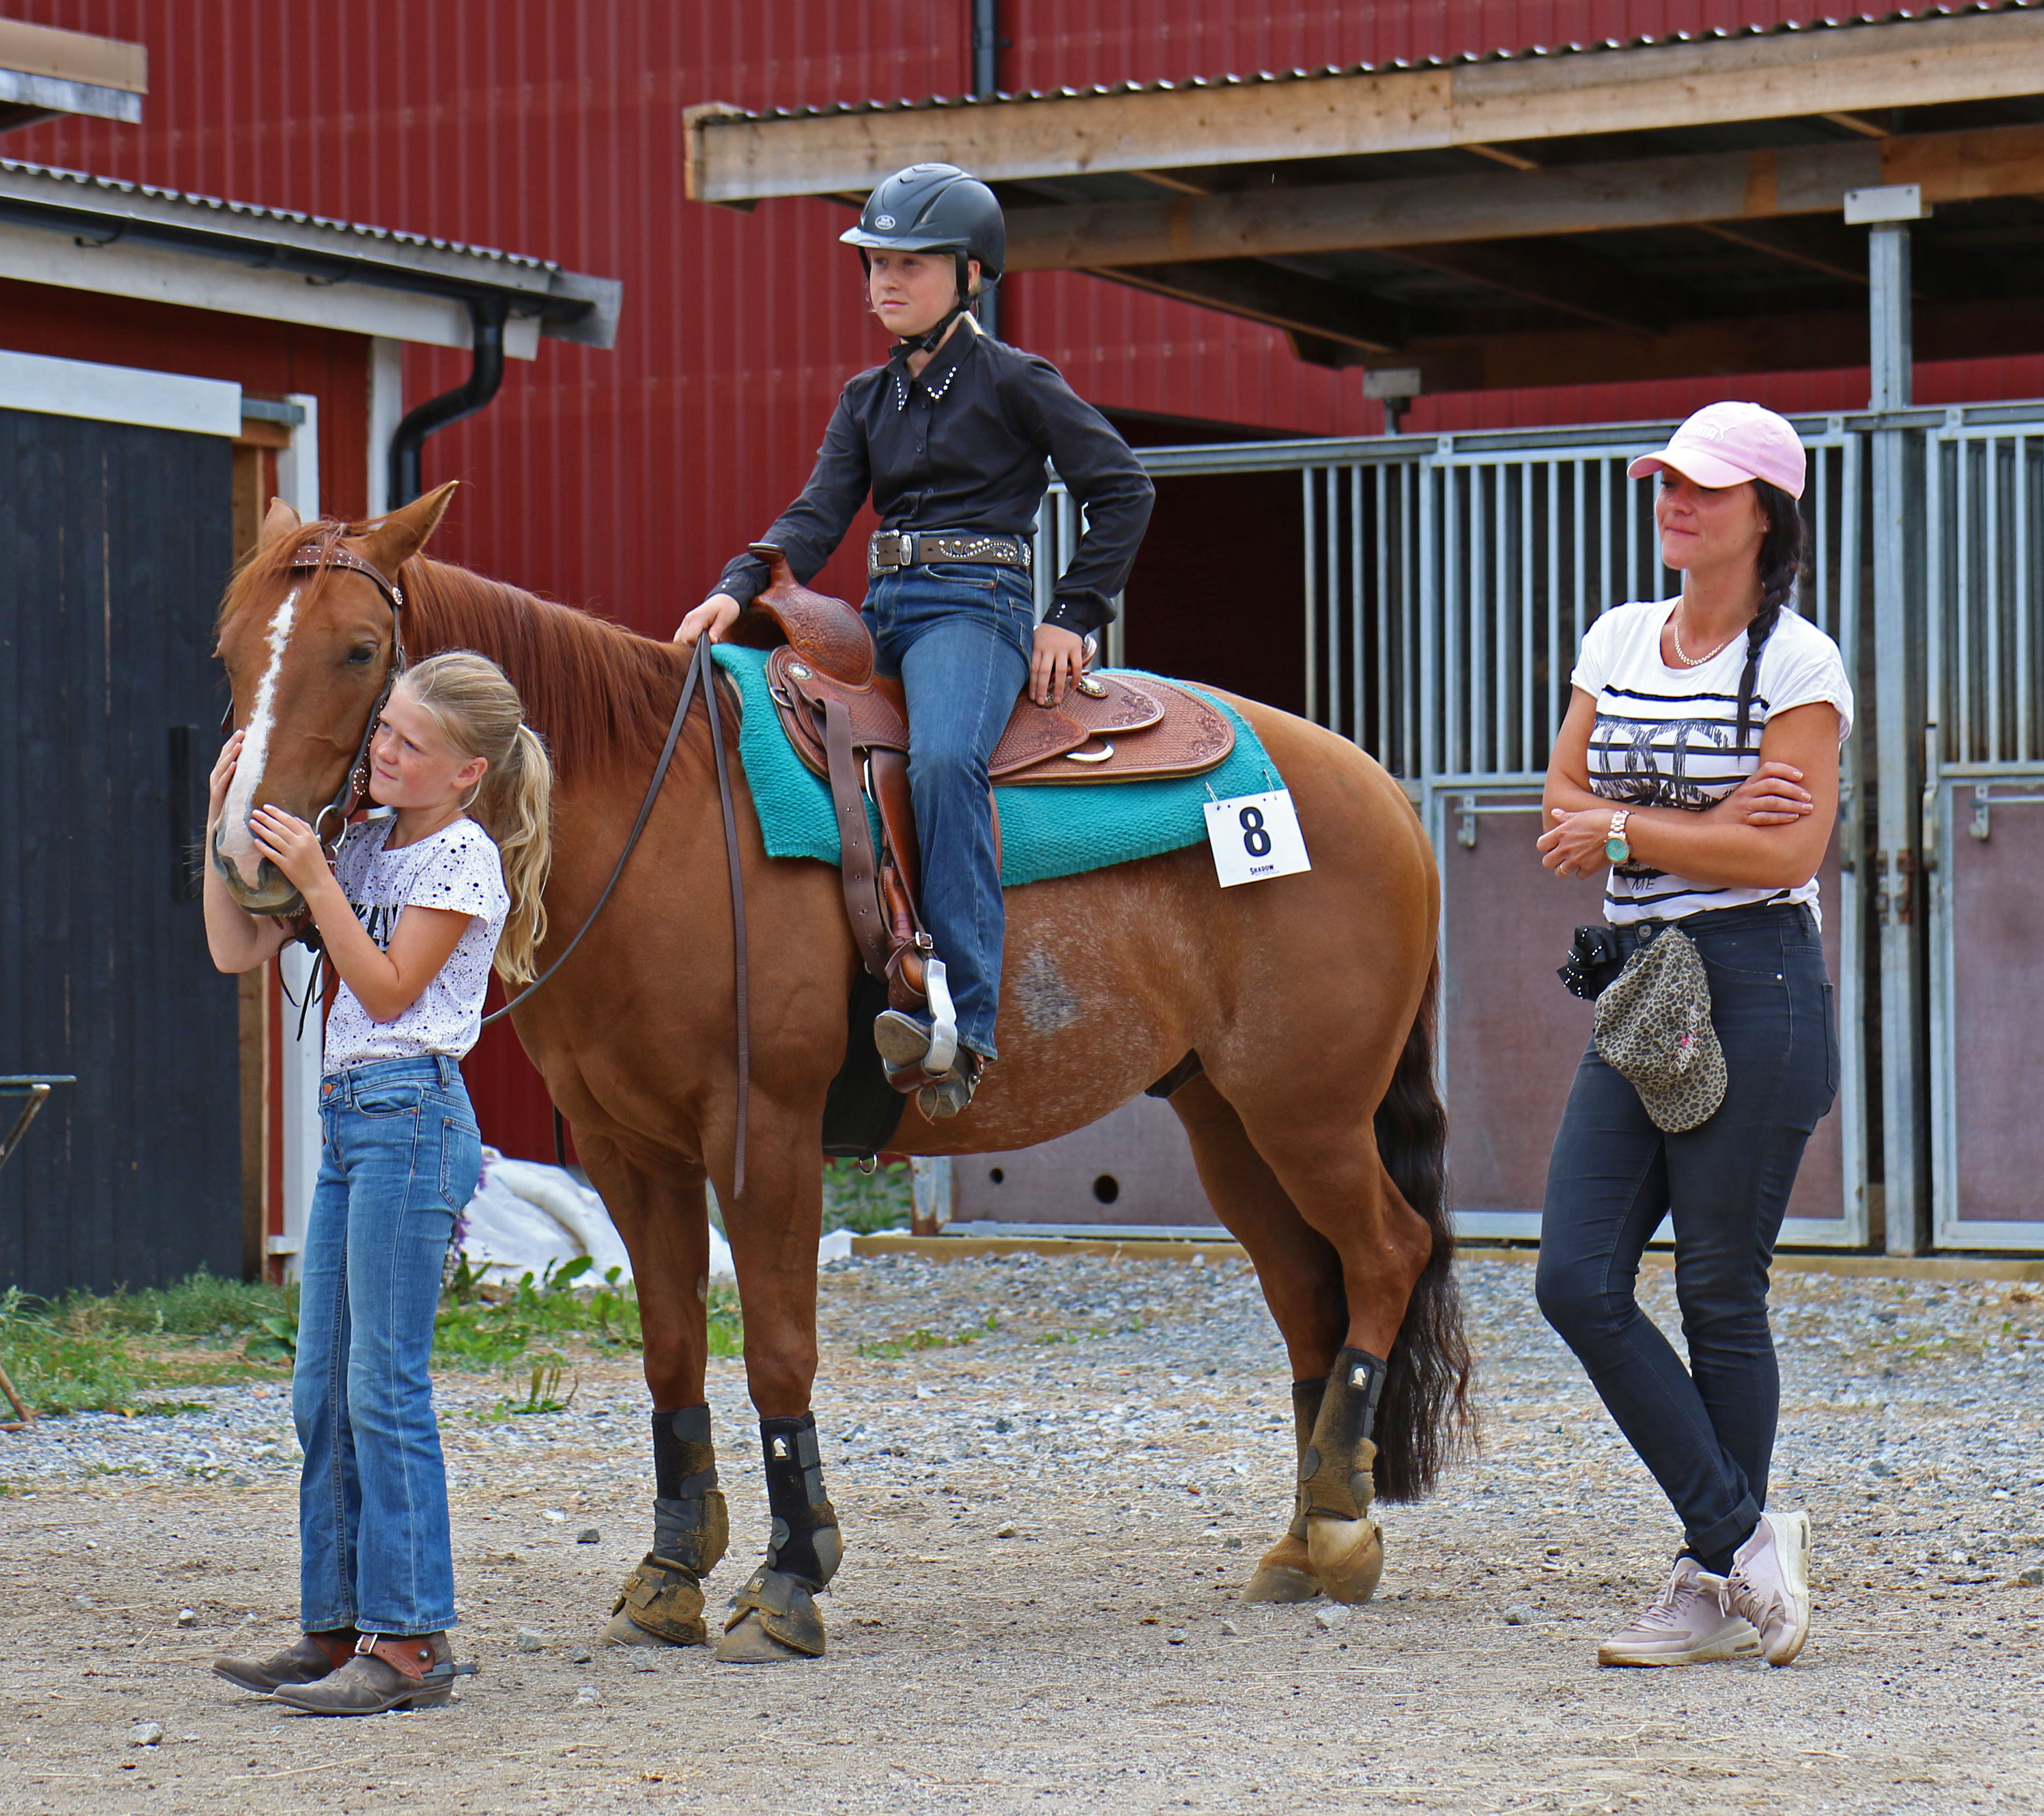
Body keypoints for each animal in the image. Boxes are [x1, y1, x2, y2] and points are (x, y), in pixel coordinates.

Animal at [215, 488, 1463, 1669]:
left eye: (359, 652)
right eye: (230, 647)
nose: (247, 855)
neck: (657, 822)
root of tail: (1378, 789)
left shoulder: (763, 1134)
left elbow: (778, 1354)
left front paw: (788, 1579)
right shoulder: (629, 1148)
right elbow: (671, 1348)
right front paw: (669, 1574)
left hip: (1308, 1111)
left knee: (1384, 1253)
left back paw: (1338, 1520)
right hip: (1228, 1118)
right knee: (1309, 1293)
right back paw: (1309, 1536)